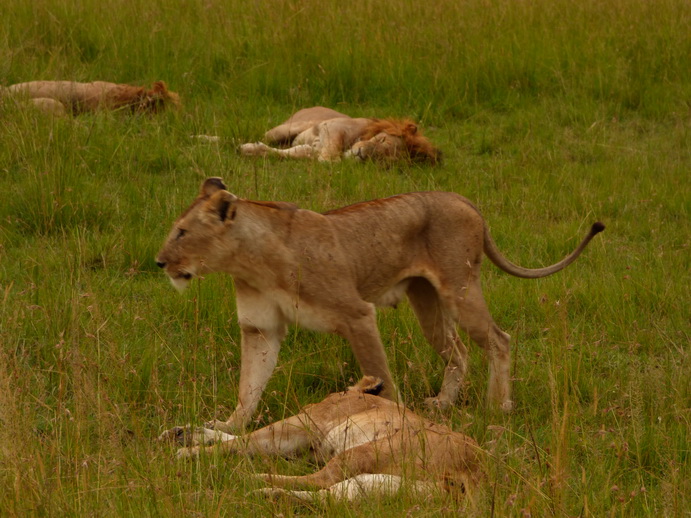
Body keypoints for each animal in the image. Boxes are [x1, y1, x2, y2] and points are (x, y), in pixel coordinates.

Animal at [155, 177, 604, 432]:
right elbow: (250, 384)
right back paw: (443, 403)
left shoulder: (357, 314)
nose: (159, 262)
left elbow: (380, 375)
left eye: (181, 232)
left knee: (499, 339)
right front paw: (229, 425)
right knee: (458, 350)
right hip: (427, 302)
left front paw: (397, 424)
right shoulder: (260, 328)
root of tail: (460, 197)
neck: (250, 261)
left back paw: (497, 408)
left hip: (459, 288)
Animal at [159, 376, 483, 503]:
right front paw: (181, 433)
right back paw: (266, 494)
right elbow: (238, 438)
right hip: (389, 483)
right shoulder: (308, 446)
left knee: (319, 481)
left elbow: (242, 441)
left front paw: (189, 451)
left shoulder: (303, 426)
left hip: (366, 451)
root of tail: (479, 471)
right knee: (333, 496)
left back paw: (244, 480)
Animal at [240, 106, 441, 164]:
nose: (362, 154)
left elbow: (291, 153)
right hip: (283, 130)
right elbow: (332, 151)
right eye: (382, 139)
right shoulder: (332, 126)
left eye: (385, 158)